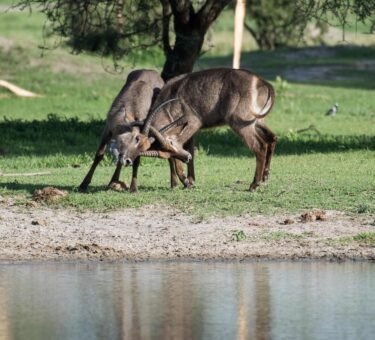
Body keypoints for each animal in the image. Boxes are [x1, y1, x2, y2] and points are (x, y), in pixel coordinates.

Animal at [116, 69, 278, 191]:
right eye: (163, 153)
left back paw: (254, 185)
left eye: (171, 144)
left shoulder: (194, 122)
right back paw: (265, 179)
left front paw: (186, 181)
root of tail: (262, 83)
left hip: (240, 124)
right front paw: (190, 180)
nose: (127, 160)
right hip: (256, 122)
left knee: (259, 146)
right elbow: (190, 151)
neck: (171, 97)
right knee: (271, 138)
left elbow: (184, 151)